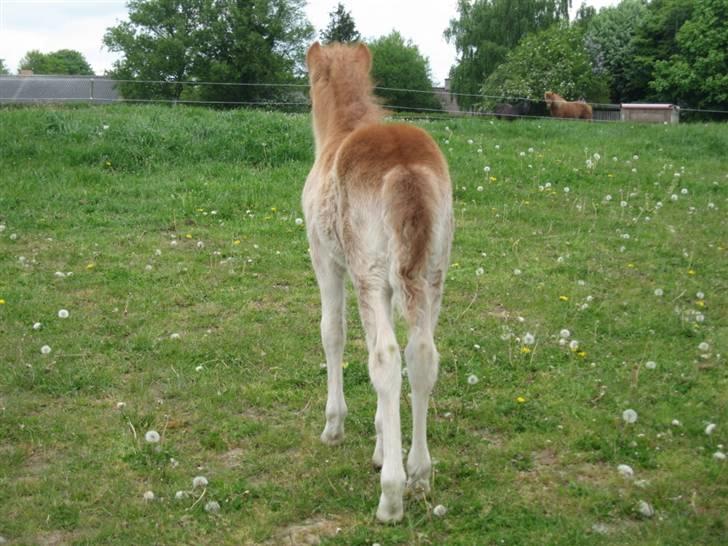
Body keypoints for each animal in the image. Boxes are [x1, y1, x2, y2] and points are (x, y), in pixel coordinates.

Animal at [300, 41, 450, 520]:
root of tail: (404, 166)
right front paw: (385, 443)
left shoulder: (327, 260)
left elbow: (333, 333)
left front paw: (335, 426)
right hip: (432, 276)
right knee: (421, 356)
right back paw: (418, 475)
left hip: (370, 277)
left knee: (385, 358)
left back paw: (391, 497)